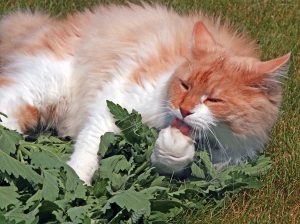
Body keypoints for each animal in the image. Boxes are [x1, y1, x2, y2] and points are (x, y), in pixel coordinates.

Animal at [0, 3, 290, 185]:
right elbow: (89, 148)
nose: (184, 110)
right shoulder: (116, 100)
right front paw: (76, 181)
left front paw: (172, 147)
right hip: (45, 87)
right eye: (185, 85)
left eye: (214, 99)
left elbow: (172, 163)